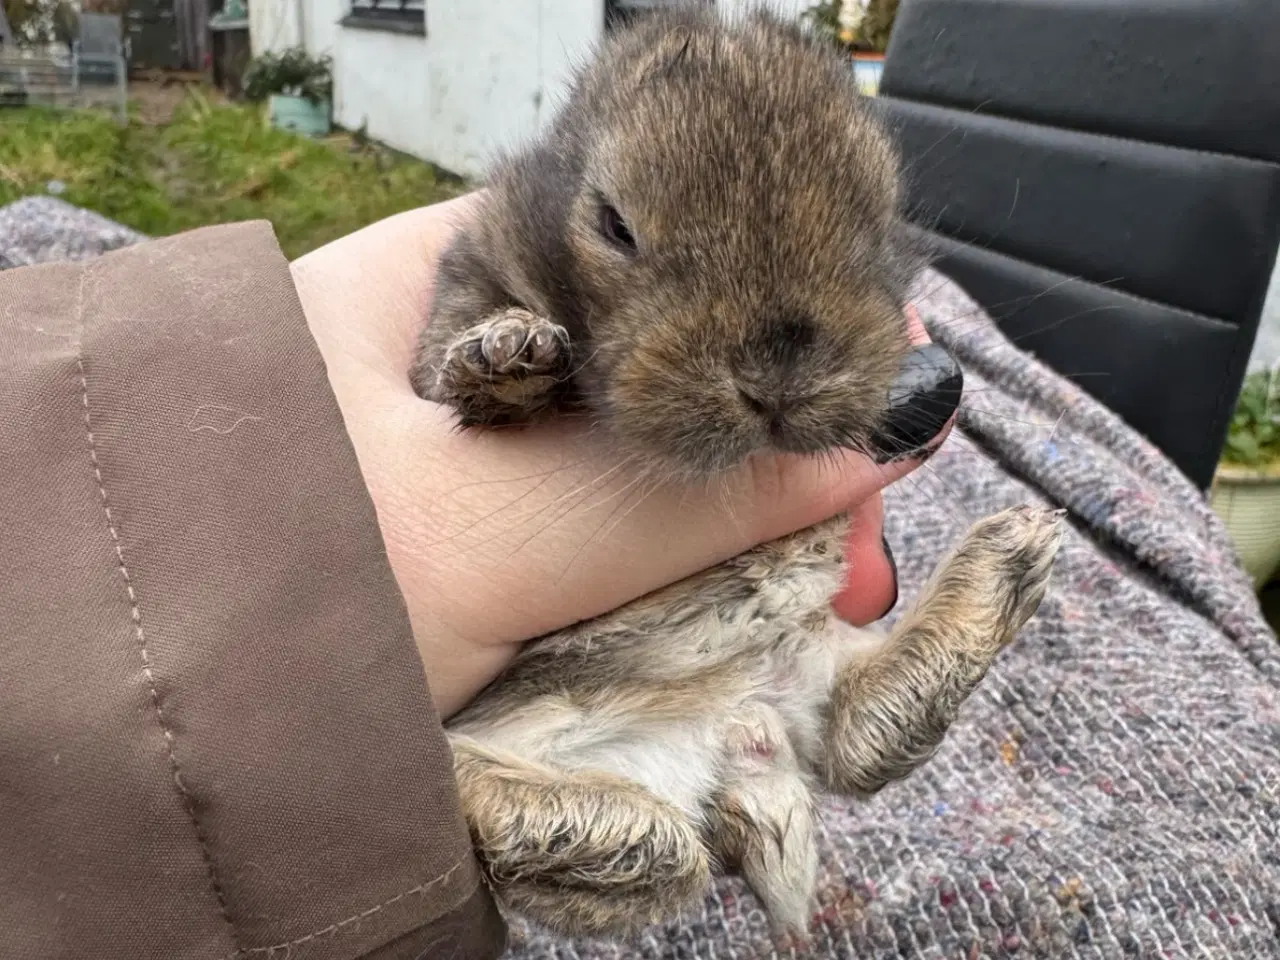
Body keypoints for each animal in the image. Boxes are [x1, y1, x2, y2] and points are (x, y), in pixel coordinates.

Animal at [409, 1, 1059, 947]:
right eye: (614, 224)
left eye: (878, 221)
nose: (777, 378)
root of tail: (734, 737)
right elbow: (449, 363)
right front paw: (507, 357)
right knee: (650, 846)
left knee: (853, 743)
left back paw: (1011, 555)